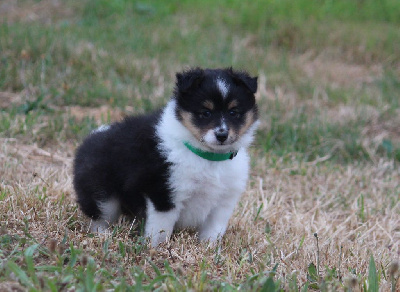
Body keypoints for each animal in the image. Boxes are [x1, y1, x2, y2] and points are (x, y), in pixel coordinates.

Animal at [73, 67, 260, 245]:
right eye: (206, 113)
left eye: (233, 112)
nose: (222, 135)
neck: (208, 157)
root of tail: (90, 138)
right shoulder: (165, 194)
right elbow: (160, 230)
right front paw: (156, 250)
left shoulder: (224, 202)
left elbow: (213, 231)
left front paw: (209, 249)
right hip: (101, 193)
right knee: (100, 217)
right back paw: (103, 236)